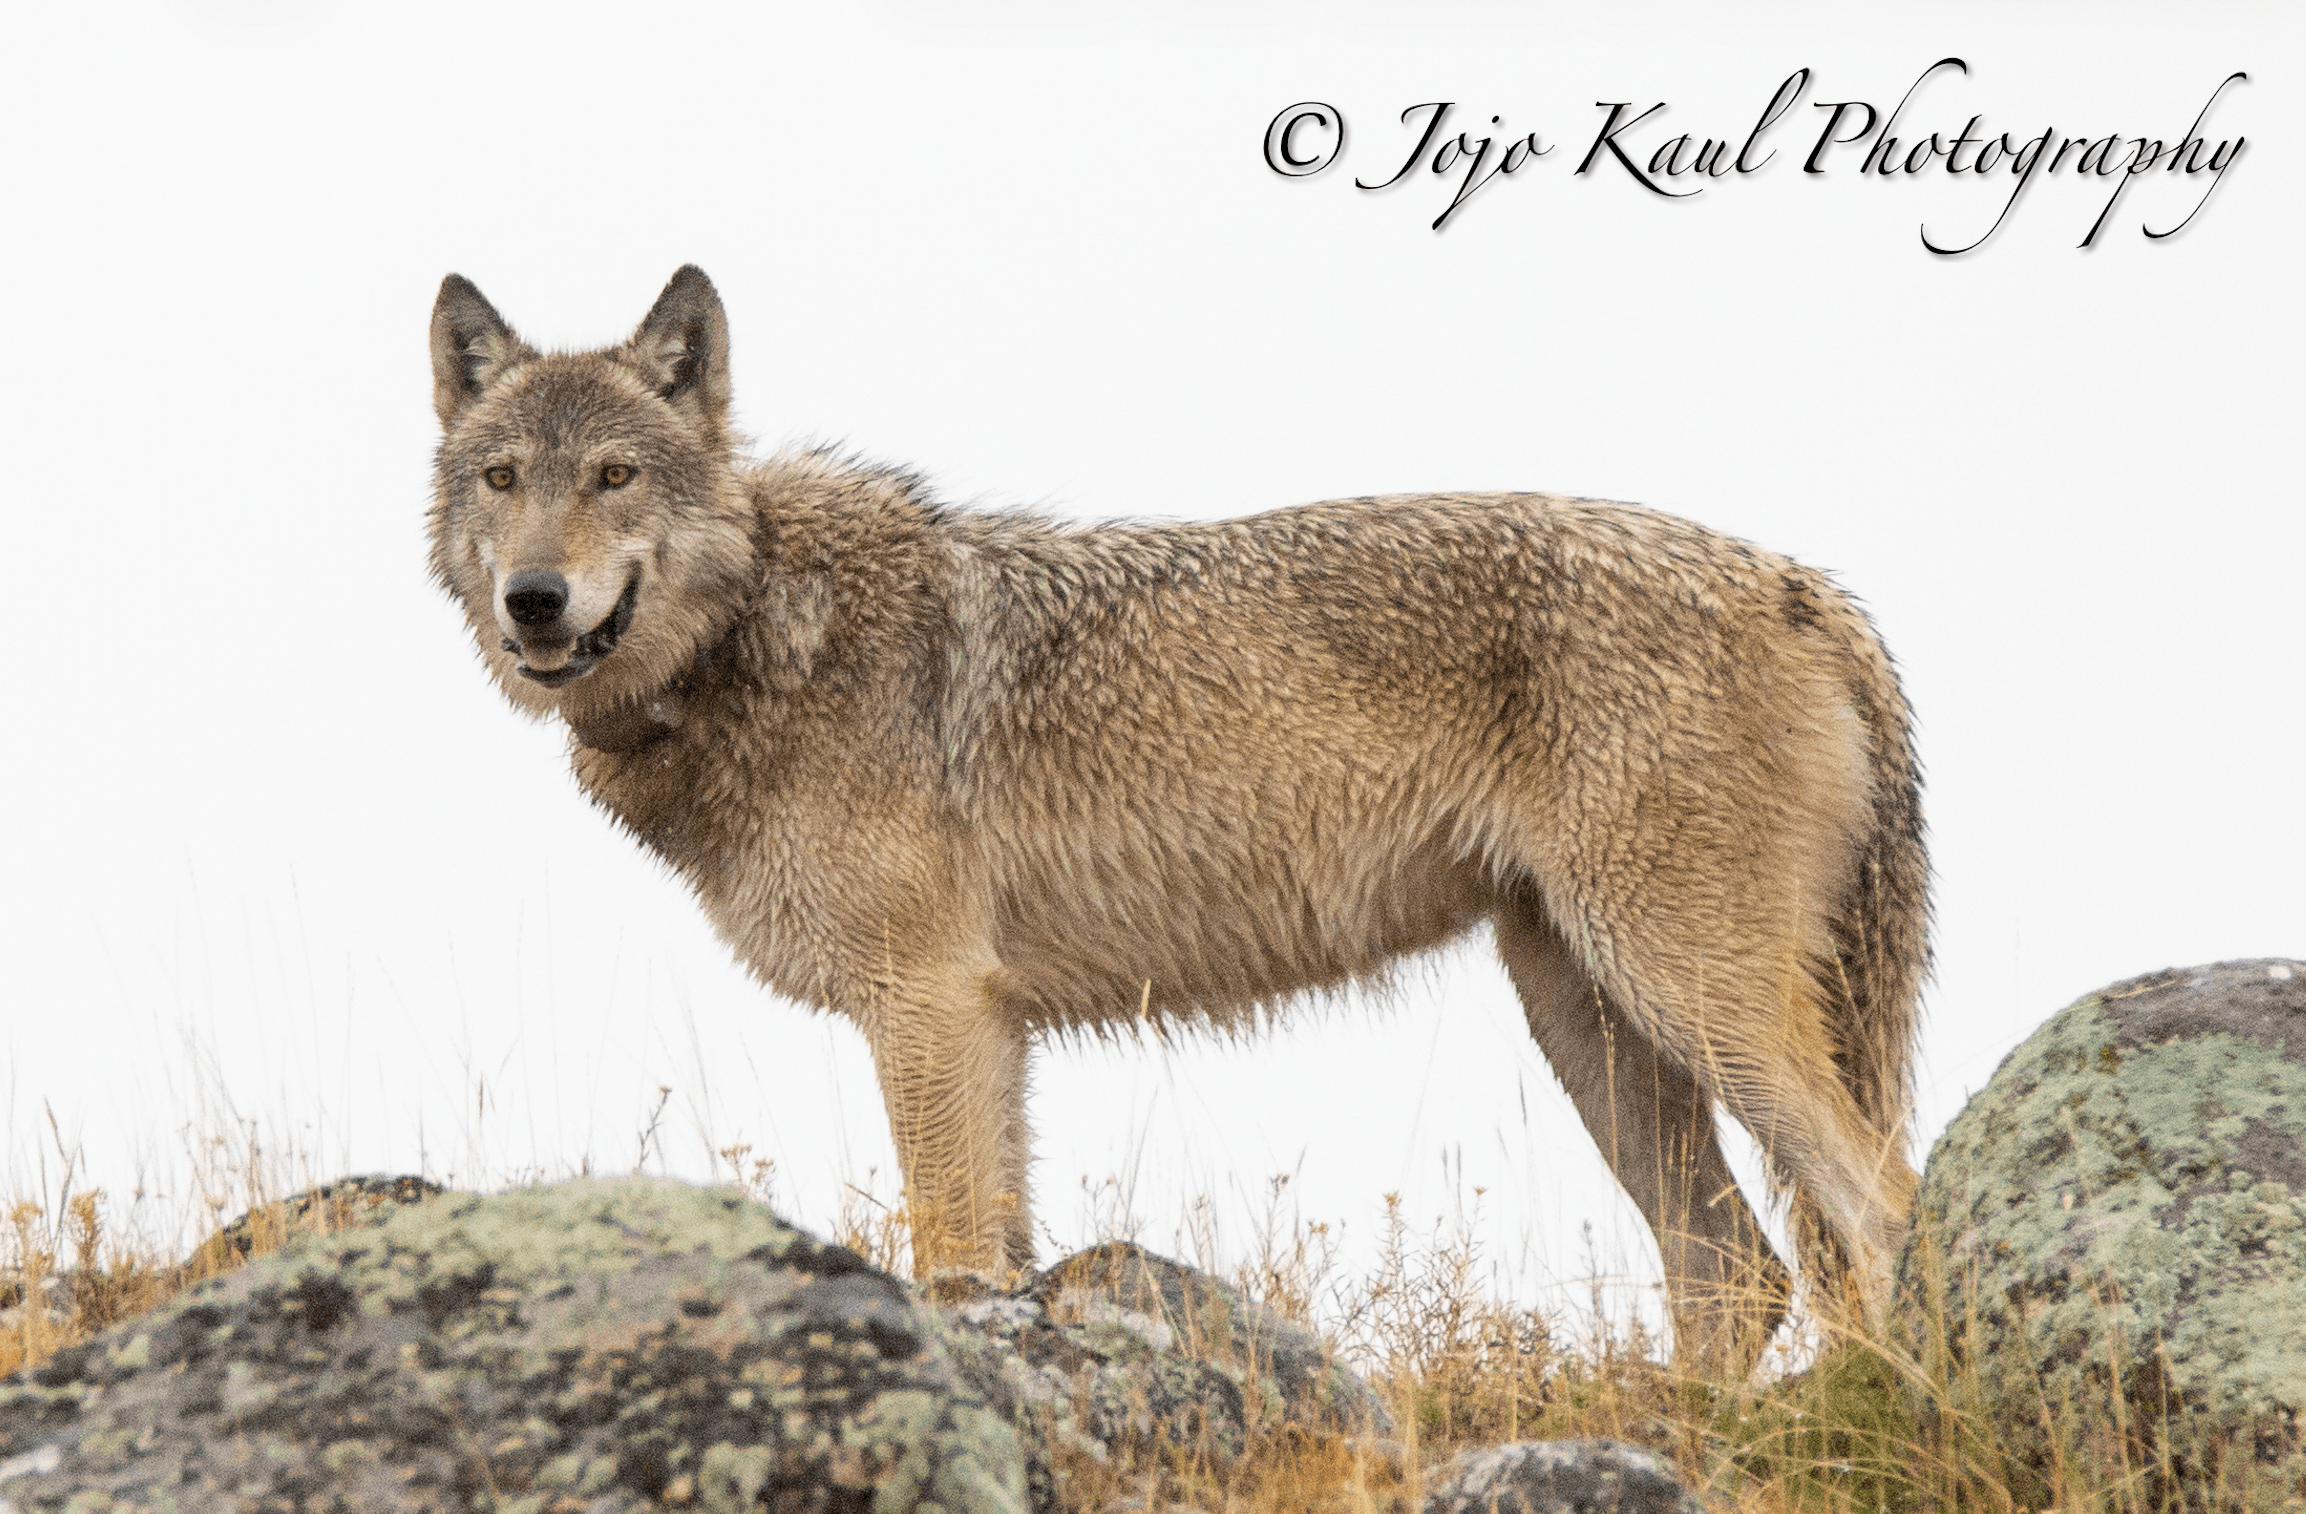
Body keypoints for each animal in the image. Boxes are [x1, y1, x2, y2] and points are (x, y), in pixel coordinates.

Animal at [427, 265, 1928, 1368]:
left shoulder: (927, 1003)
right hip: (1588, 1013)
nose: (534, 601)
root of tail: (1808, 586)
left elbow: (951, 1256)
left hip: (1683, 995)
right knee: (1734, 1269)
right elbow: (997, 1253)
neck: (759, 636)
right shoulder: (983, 1022)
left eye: (615, 476)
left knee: (1879, 1208)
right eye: (503, 480)